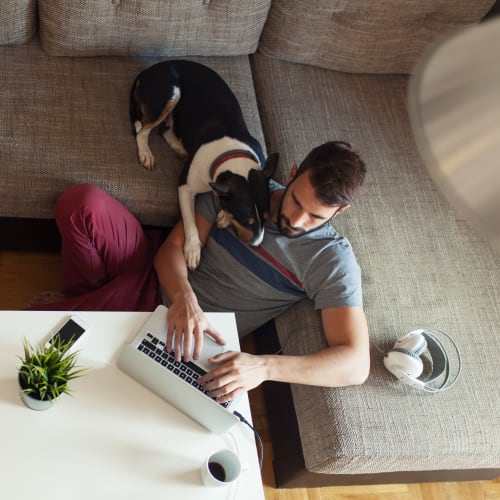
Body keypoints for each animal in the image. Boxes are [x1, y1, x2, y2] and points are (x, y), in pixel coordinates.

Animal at [129, 60, 278, 270]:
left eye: (266, 218)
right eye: (245, 220)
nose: (256, 244)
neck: (232, 156)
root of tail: (151, 69)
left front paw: (224, 216)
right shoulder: (185, 188)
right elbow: (190, 222)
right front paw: (192, 250)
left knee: (164, 130)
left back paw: (179, 147)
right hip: (171, 93)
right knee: (143, 130)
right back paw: (146, 153)